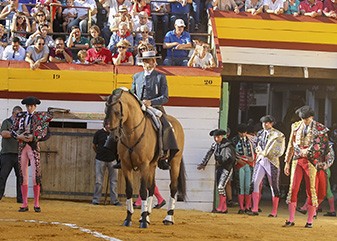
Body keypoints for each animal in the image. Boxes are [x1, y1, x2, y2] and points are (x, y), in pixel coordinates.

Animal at [103, 88, 185, 228]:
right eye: (105, 110)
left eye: (117, 112)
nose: (112, 133)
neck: (132, 134)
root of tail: (177, 123)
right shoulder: (126, 166)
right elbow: (130, 190)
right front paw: (129, 219)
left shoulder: (143, 165)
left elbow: (142, 190)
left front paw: (143, 221)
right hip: (153, 165)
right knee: (151, 187)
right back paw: (146, 217)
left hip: (175, 162)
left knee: (173, 187)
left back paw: (168, 217)